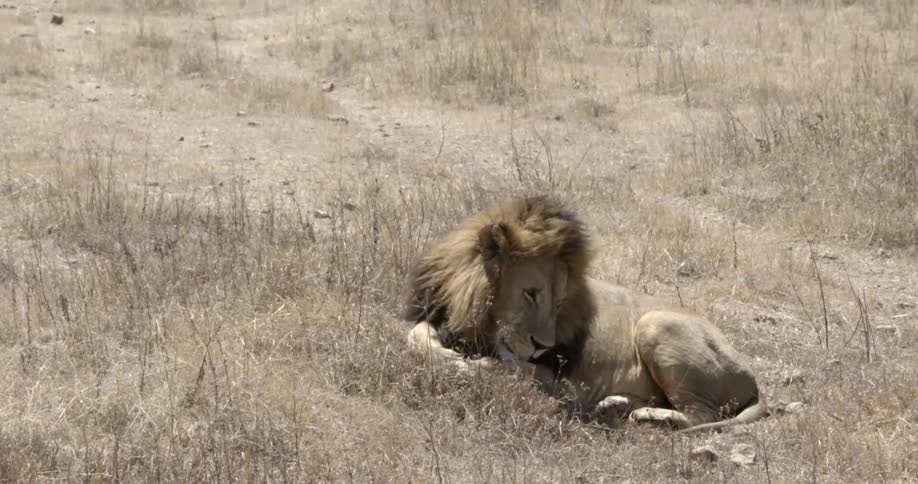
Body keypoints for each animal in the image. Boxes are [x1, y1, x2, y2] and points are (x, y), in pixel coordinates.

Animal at [403, 195, 768, 432]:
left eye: (559, 302)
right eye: (531, 293)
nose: (543, 346)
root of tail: (752, 378)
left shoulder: (548, 375)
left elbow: (501, 367)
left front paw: (466, 364)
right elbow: (414, 334)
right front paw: (442, 352)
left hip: (655, 323)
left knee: (704, 415)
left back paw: (649, 416)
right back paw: (614, 404)